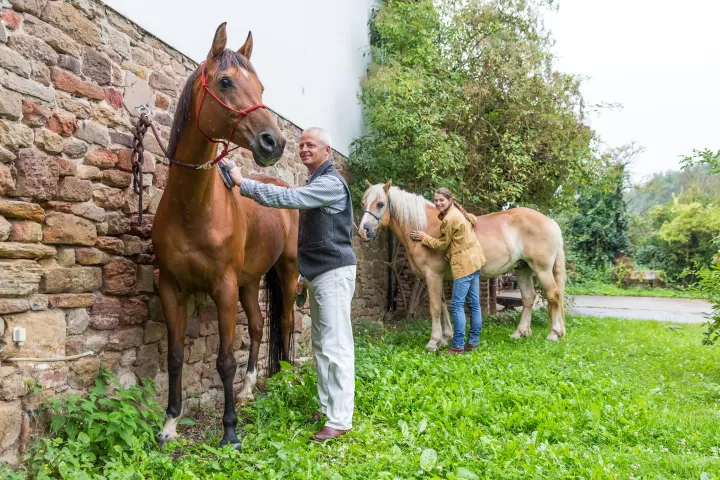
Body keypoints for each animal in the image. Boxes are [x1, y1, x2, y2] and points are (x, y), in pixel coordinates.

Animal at [152, 24, 298, 448]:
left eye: (262, 87)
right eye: (226, 81)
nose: (274, 142)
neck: (193, 208)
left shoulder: (224, 286)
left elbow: (224, 360)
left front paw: (229, 431)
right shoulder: (171, 288)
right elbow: (175, 356)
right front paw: (170, 424)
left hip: (286, 272)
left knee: (286, 321)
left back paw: (284, 379)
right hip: (250, 281)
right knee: (260, 324)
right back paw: (250, 389)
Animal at [358, 181, 564, 348]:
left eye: (380, 204)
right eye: (363, 203)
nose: (363, 231)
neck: (426, 226)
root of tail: (551, 221)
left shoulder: (433, 275)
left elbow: (434, 307)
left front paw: (433, 341)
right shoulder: (437, 277)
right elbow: (442, 305)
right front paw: (445, 337)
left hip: (542, 269)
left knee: (553, 295)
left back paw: (554, 334)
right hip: (523, 269)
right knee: (529, 298)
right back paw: (520, 333)